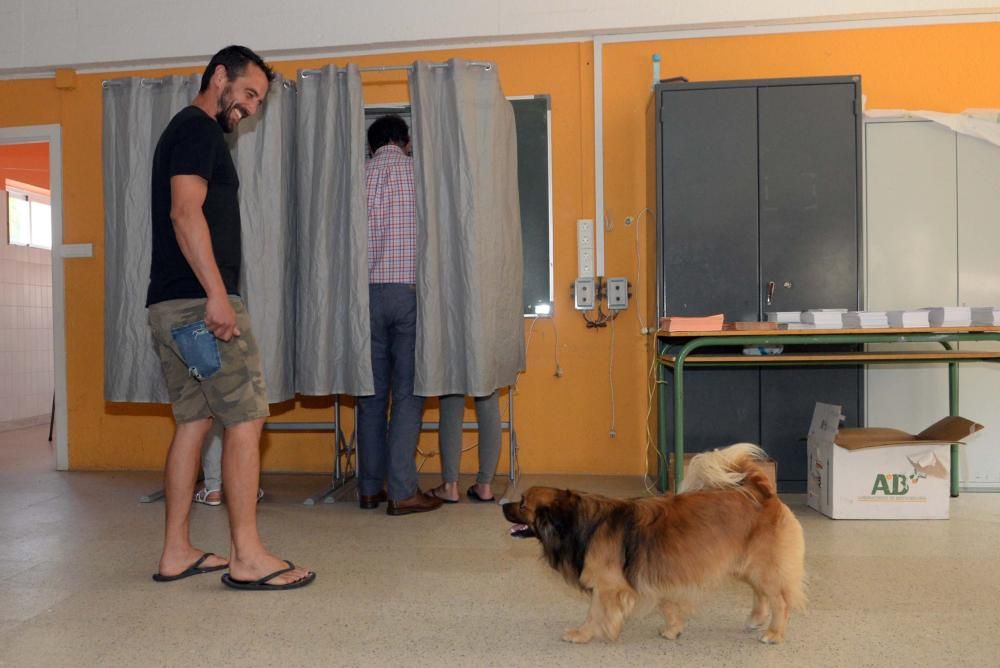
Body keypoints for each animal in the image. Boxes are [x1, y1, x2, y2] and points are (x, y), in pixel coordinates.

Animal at [500, 444, 804, 640]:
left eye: (523, 504)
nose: (503, 505)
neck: (578, 521)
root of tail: (762, 492)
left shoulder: (608, 585)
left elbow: (595, 612)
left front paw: (583, 633)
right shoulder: (654, 575)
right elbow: (667, 604)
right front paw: (673, 629)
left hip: (762, 567)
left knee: (780, 601)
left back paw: (774, 633)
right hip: (745, 565)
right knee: (761, 594)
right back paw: (755, 620)